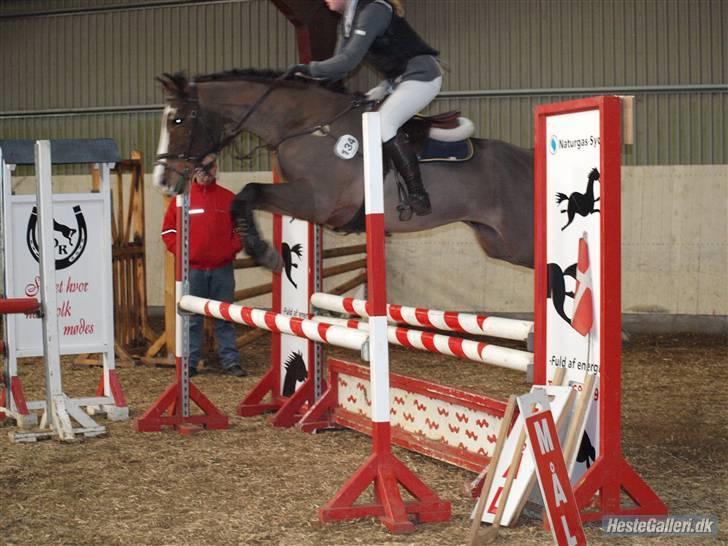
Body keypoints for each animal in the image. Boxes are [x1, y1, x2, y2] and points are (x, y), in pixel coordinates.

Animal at [154, 68, 536, 272]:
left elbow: (248, 192)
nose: (163, 182)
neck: (305, 124)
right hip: (498, 243)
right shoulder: (303, 200)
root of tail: (527, 159)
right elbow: (247, 197)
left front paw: (265, 254)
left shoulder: (317, 201)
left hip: (520, 242)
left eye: (177, 120)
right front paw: (263, 250)